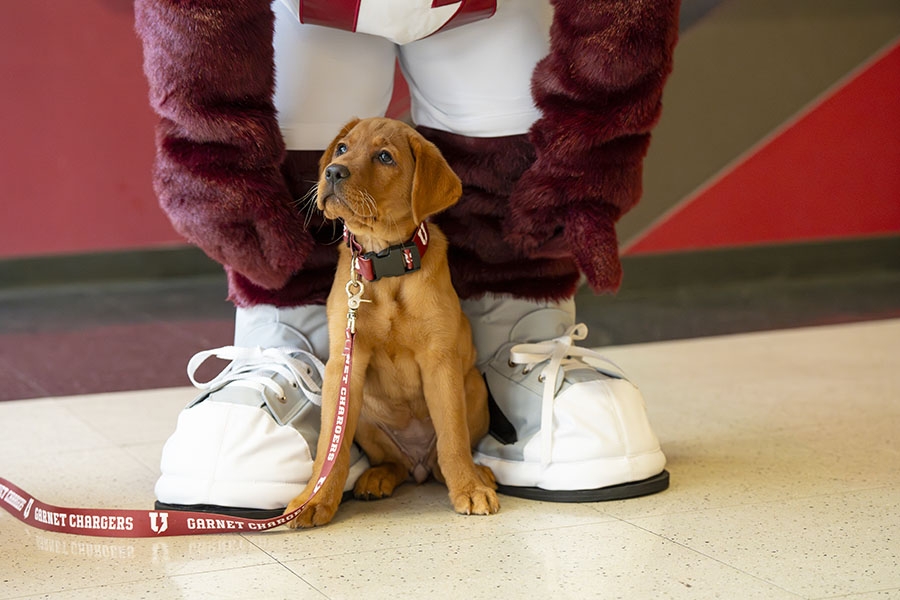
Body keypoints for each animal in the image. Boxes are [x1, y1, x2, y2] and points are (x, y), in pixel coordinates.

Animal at [286, 116, 500, 524]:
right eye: (342, 148)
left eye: (385, 157)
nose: (333, 172)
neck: (384, 262)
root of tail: (418, 464)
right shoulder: (345, 364)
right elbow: (330, 446)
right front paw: (314, 500)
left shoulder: (440, 363)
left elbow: (453, 437)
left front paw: (468, 489)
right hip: (366, 415)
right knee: (393, 462)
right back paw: (378, 477)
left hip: (473, 389)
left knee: (445, 456)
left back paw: (478, 474)